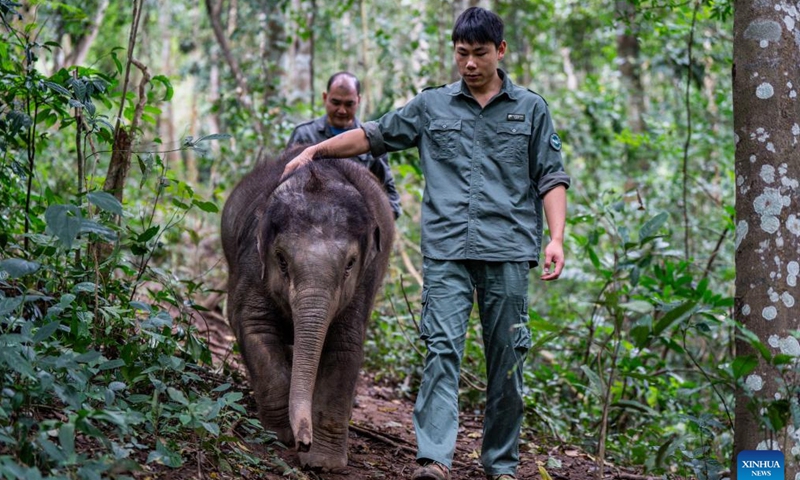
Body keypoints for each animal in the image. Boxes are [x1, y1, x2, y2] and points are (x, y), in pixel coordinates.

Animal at [220, 149, 395, 470]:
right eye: (281, 260)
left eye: (350, 264)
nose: (304, 441)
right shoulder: (252, 263)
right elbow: (254, 326)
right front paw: (280, 436)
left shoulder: (364, 282)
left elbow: (344, 346)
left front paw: (323, 462)